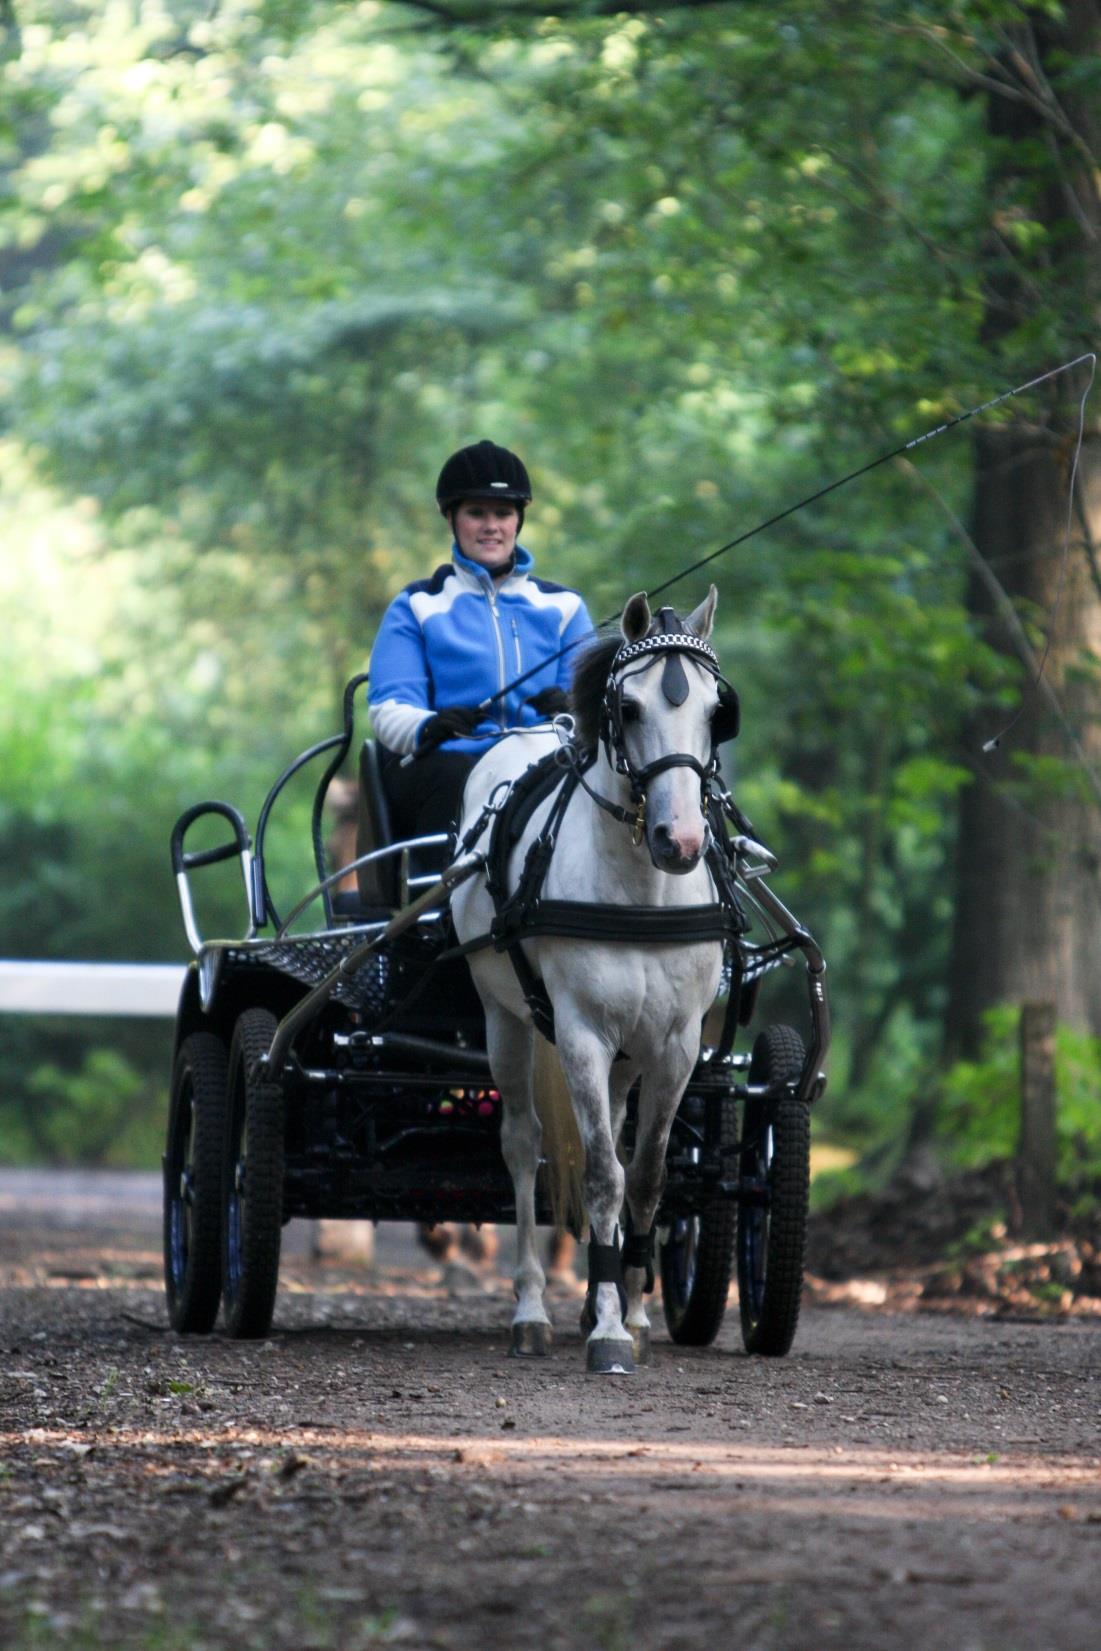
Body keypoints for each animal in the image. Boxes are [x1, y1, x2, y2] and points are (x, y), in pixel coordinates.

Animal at [448, 587, 732, 1373]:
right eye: (629, 708)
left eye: (716, 710)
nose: (681, 842)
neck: (643, 892)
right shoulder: (579, 1032)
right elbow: (602, 1172)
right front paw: (607, 1333)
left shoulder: (676, 1045)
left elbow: (648, 1174)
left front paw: (630, 1311)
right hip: (505, 1019)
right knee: (523, 1144)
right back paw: (532, 1309)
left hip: (628, 1054)